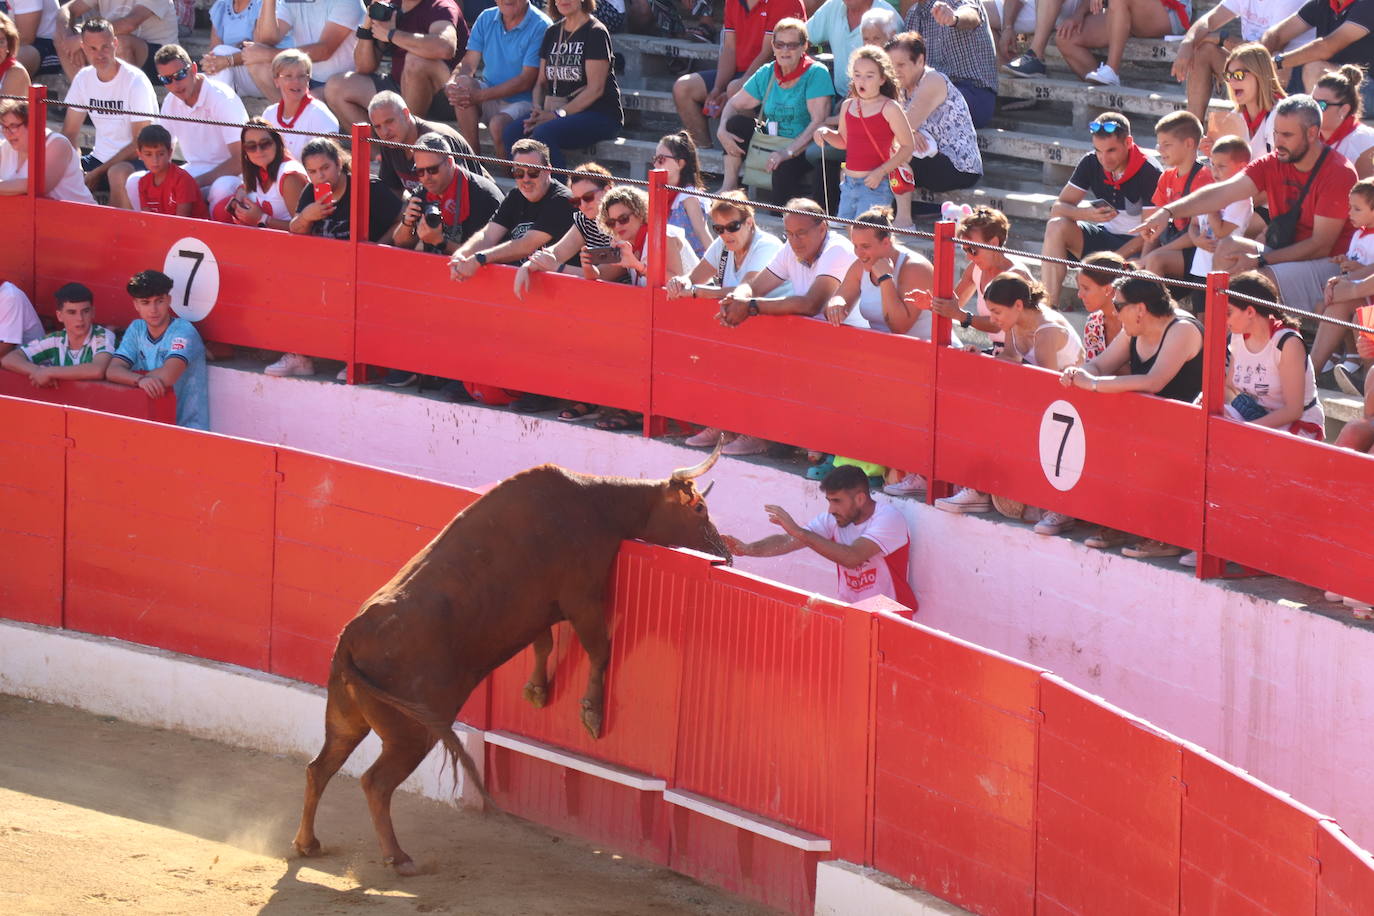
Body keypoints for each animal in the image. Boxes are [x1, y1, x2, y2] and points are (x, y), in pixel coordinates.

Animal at [291, 444, 730, 873]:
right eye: (698, 508)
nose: (726, 554)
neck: (596, 503)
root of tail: (350, 639)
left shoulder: (537, 610)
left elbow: (543, 644)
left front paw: (537, 690)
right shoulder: (583, 598)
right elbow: (600, 649)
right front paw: (591, 713)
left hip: (345, 717)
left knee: (320, 767)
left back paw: (307, 843)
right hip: (411, 734)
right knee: (375, 783)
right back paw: (398, 858)